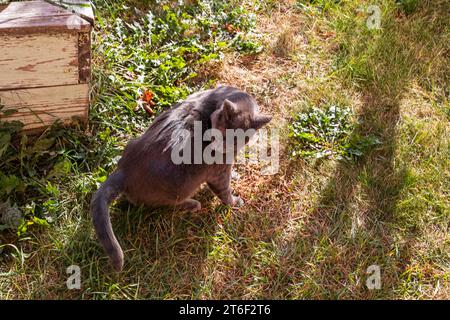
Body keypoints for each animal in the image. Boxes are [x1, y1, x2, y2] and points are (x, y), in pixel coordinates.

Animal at [89, 85, 268, 270]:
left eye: (236, 141)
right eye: (221, 135)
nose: (216, 147)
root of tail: (124, 170)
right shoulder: (219, 172)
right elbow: (225, 192)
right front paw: (236, 202)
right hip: (177, 190)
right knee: (165, 204)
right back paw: (193, 204)